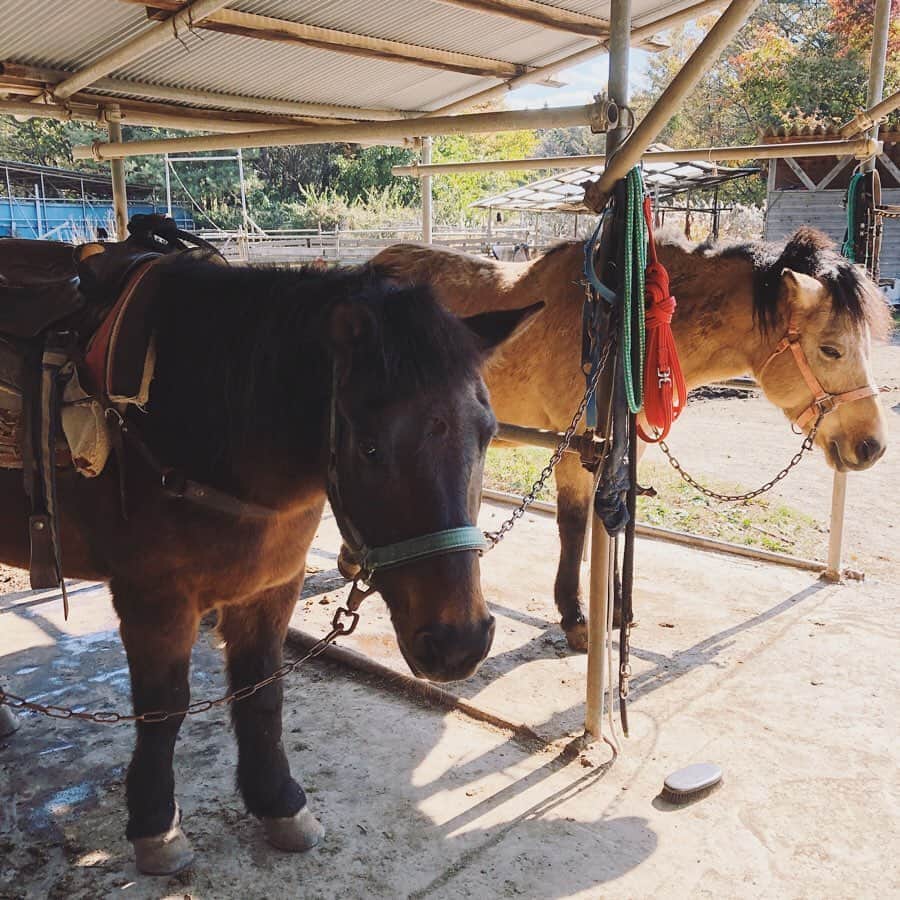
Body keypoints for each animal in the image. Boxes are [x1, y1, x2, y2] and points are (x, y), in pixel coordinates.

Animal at [0, 255, 539, 874]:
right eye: (369, 447)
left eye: (488, 434)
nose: (459, 643)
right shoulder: (154, 599)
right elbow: (164, 708)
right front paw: (156, 826)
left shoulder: (271, 587)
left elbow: (262, 692)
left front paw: (279, 803)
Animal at [372, 226, 891, 651]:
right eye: (831, 349)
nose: (872, 446)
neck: (617, 336)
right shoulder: (573, 450)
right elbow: (574, 527)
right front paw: (577, 618)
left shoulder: (622, 450)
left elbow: (614, 522)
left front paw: (618, 611)